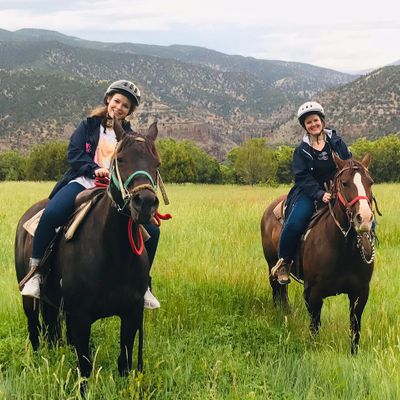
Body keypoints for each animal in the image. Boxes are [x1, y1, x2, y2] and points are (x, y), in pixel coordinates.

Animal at [261, 153, 378, 353]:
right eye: (345, 183)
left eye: (369, 182)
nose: (364, 218)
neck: (343, 249)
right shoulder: (313, 293)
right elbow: (314, 326)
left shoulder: (360, 293)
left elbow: (355, 328)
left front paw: (353, 355)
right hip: (271, 265)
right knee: (277, 289)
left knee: (283, 292)